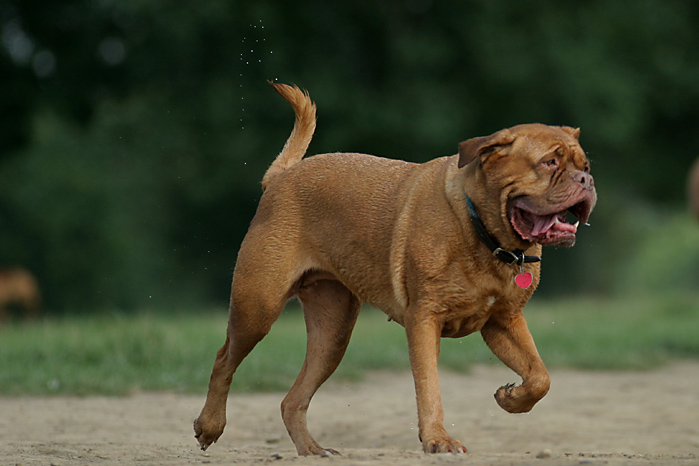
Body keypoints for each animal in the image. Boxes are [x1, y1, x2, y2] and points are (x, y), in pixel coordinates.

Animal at [194, 83, 600, 456]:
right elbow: (429, 386)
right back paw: (210, 426)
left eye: (585, 166)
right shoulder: (425, 320)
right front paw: (438, 440)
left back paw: (312, 449)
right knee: (223, 359)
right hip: (258, 308)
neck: (482, 232)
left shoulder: (503, 321)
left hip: (333, 333)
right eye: (549, 163)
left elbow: (540, 376)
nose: (586, 180)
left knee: (292, 399)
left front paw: (510, 399)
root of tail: (280, 177)